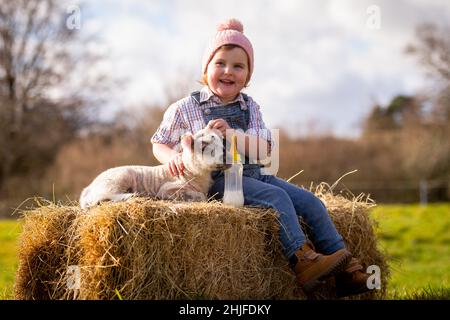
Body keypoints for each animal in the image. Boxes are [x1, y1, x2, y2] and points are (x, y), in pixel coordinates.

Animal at [79, 126, 227, 209]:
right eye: (204, 147)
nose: (227, 158)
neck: (192, 171)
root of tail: (88, 189)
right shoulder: (167, 189)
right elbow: (201, 196)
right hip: (117, 179)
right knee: (102, 196)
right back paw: (132, 195)